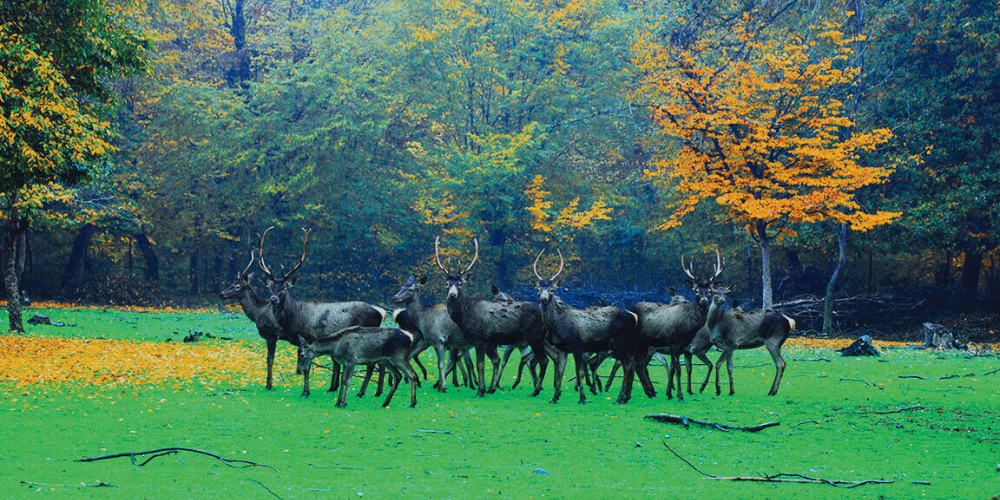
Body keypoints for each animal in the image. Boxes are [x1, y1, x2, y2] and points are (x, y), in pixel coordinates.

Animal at [258, 228, 386, 398]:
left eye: (284, 288)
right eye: (270, 288)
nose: (273, 299)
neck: (294, 319)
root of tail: (380, 314)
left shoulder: (309, 337)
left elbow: (307, 366)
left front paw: (306, 391)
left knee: (372, 364)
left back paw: (361, 392)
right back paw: (376, 391)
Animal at [436, 237, 552, 398]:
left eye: (460, 284)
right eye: (447, 283)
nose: (452, 295)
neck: (464, 316)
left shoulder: (479, 339)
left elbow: (480, 365)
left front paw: (480, 391)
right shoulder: (488, 341)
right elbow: (493, 361)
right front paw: (487, 388)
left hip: (535, 337)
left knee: (543, 360)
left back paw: (535, 391)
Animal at [620, 248, 724, 404]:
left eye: (710, 291)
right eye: (696, 291)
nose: (704, 301)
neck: (689, 327)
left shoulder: (682, 347)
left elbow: (676, 369)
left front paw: (671, 393)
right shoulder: (674, 342)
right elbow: (678, 370)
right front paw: (680, 396)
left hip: (643, 344)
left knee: (636, 364)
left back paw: (641, 393)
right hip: (638, 343)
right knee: (630, 363)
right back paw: (629, 394)